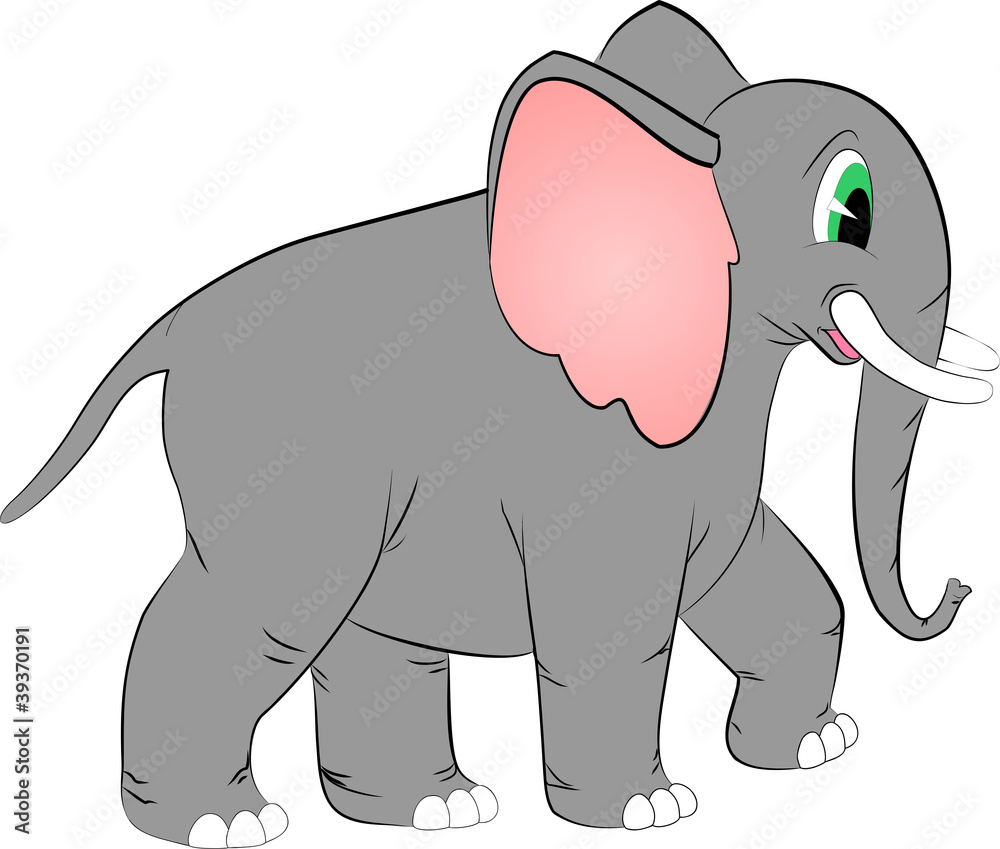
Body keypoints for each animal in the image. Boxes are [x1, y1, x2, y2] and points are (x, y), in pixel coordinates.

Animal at [3, 2, 996, 844]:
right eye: (849, 210)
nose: (959, 588)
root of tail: (172, 326)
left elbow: (772, 584)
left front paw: (818, 747)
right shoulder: (603, 457)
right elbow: (616, 627)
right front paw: (650, 809)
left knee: (373, 639)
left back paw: (435, 808)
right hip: (276, 474)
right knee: (250, 620)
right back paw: (228, 822)